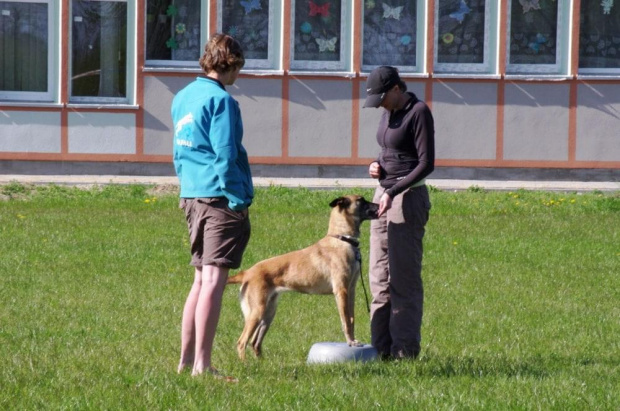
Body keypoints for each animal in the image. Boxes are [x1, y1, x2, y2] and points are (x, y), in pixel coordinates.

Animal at [226, 196, 378, 360]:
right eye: (361, 200)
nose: (378, 205)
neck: (342, 239)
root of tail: (247, 272)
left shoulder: (351, 290)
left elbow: (351, 319)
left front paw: (353, 341)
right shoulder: (341, 291)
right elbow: (346, 322)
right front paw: (350, 342)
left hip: (269, 312)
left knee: (255, 342)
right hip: (257, 311)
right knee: (242, 341)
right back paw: (245, 363)